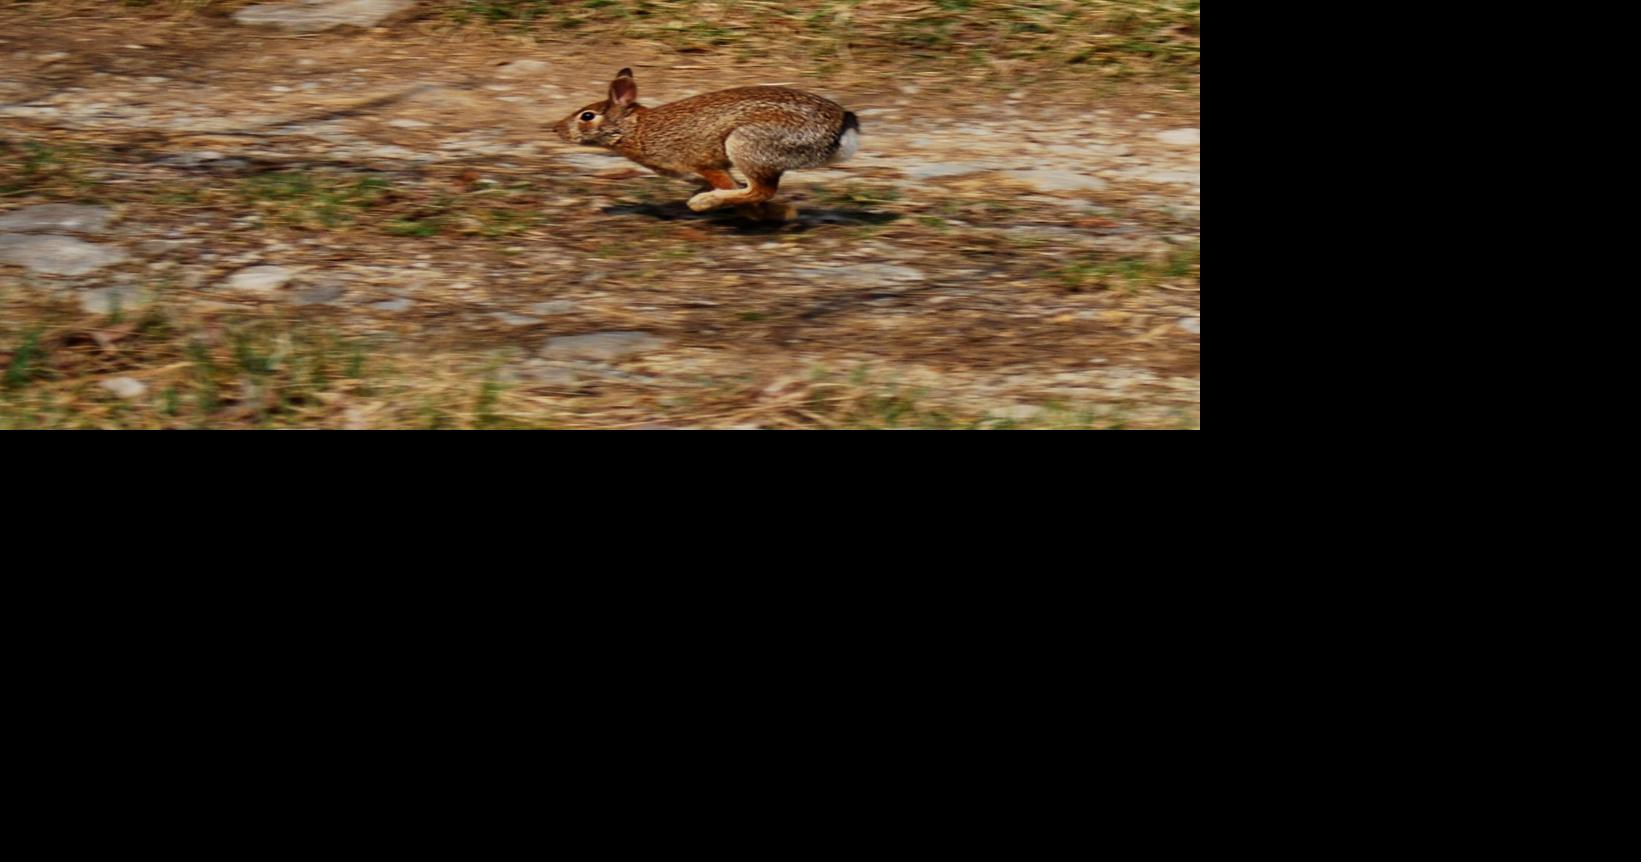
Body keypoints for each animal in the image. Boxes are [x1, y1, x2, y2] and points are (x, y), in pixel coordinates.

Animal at [554, 68, 860, 218]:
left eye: (587, 116)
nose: (556, 130)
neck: (636, 130)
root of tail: (841, 126)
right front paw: (779, 215)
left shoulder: (703, 164)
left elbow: (733, 189)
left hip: (744, 143)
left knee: (762, 188)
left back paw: (702, 203)